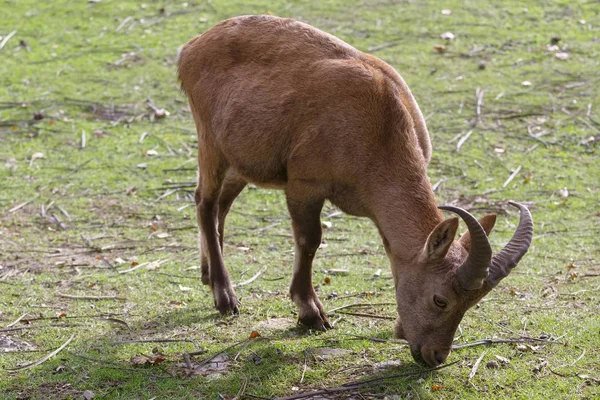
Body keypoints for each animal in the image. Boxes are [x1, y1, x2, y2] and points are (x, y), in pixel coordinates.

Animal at [178, 15, 536, 366]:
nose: (435, 356)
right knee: (205, 204)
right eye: (440, 299)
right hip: (211, 143)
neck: (381, 125)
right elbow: (310, 241)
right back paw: (225, 296)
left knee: (220, 206)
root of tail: (191, 48)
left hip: (241, 161)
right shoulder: (305, 185)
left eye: (471, 303)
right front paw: (311, 313)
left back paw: (207, 274)